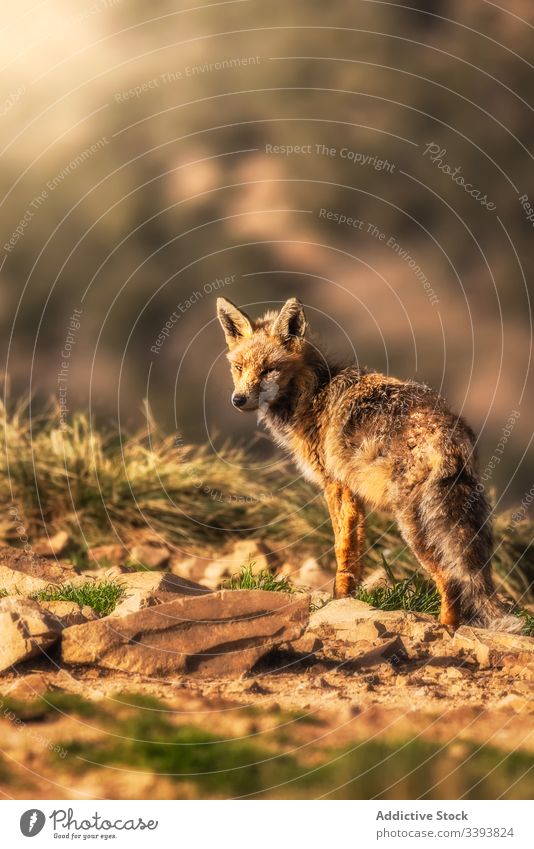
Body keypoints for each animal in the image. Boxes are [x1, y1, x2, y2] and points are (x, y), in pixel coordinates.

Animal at [218, 298, 520, 628]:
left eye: (269, 370)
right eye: (239, 367)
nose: (238, 400)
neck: (314, 393)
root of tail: (450, 435)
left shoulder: (335, 485)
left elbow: (341, 547)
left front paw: (336, 601)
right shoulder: (354, 493)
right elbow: (355, 553)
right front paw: (347, 599)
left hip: (413, 525)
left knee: (450, 579)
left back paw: (445, 628)